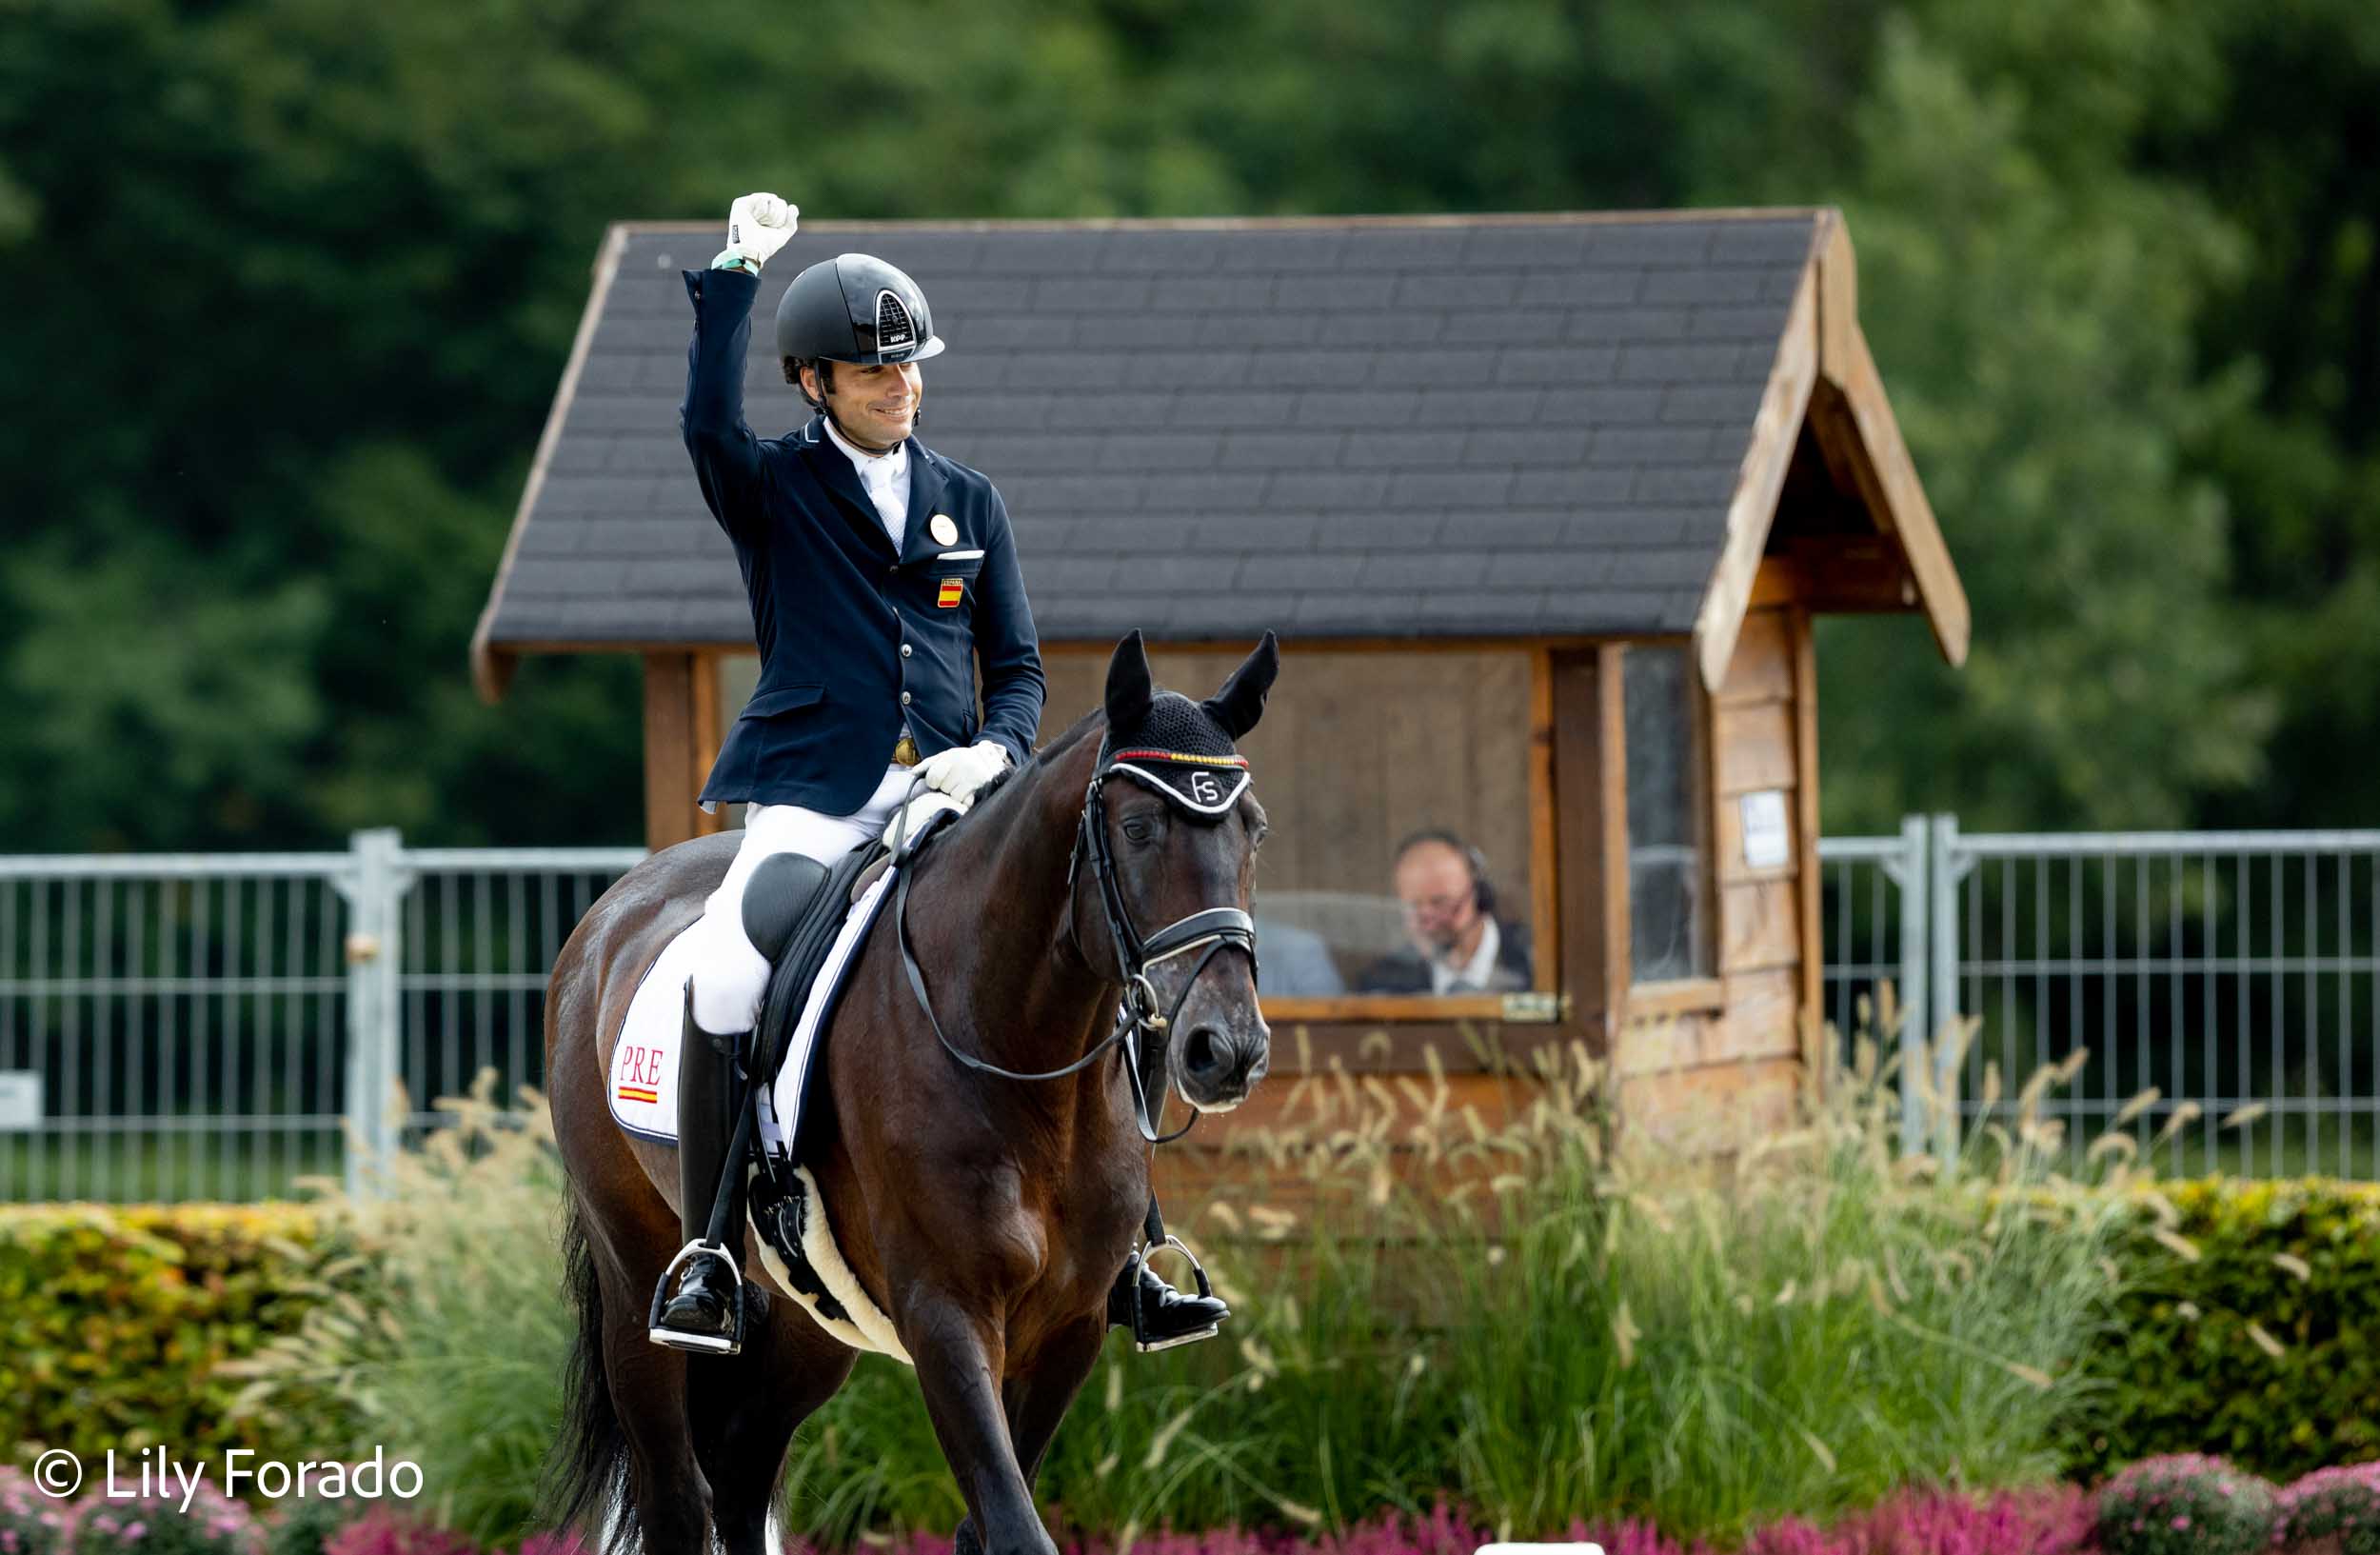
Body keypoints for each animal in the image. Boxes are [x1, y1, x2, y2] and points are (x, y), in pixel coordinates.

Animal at [545, 628, 1276, 1552]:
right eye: (1139, 826)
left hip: (813, 1316)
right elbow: (1014, 1524)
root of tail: (611, 913)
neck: (1018, 1056)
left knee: (741, 1467)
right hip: (637, 1280)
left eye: (1253, 829)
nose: (1229, 1048)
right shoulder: (946, 1313)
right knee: (678, 1495)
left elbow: (989, 1522)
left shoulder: (1066, 1328)